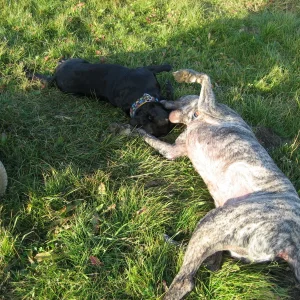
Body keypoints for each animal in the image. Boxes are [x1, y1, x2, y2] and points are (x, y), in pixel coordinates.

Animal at [27, 59, 175, 137]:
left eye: (144, 127)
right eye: (149, 116)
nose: (132, 122)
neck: (141, 97)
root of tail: (55, 77)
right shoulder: (145, 69)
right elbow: (158, 67)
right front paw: (169, 67)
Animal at [122, 69, 300, 298]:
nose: (162, 100)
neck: (195, 115)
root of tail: (290, 248)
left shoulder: (209, 105)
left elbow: (203, 77)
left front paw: (183, 75)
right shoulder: (173, 150)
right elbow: (151, 138)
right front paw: (136, 130)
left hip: (215, 222)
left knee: (186, 281)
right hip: (218, 231)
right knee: (210, 263)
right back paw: (169, 241)